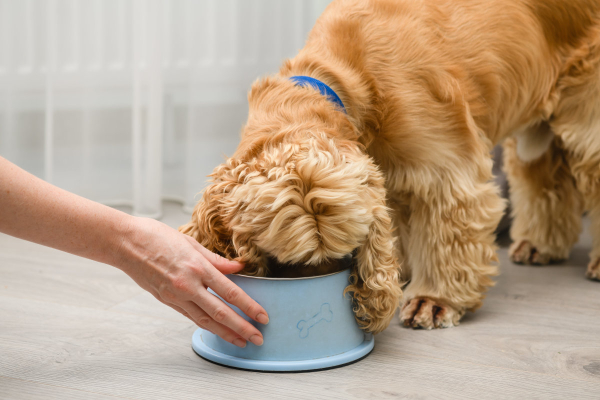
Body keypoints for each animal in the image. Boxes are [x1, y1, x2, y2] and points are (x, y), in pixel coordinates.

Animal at [182, 0, 600, 332]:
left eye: (342, 255)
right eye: (285, 261)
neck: (346, 77)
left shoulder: (446, 170)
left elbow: (446, 234)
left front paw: (434, 299)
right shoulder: (386, 177)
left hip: (586, 116)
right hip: (536, 125)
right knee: (543, 172)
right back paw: (540, 245)